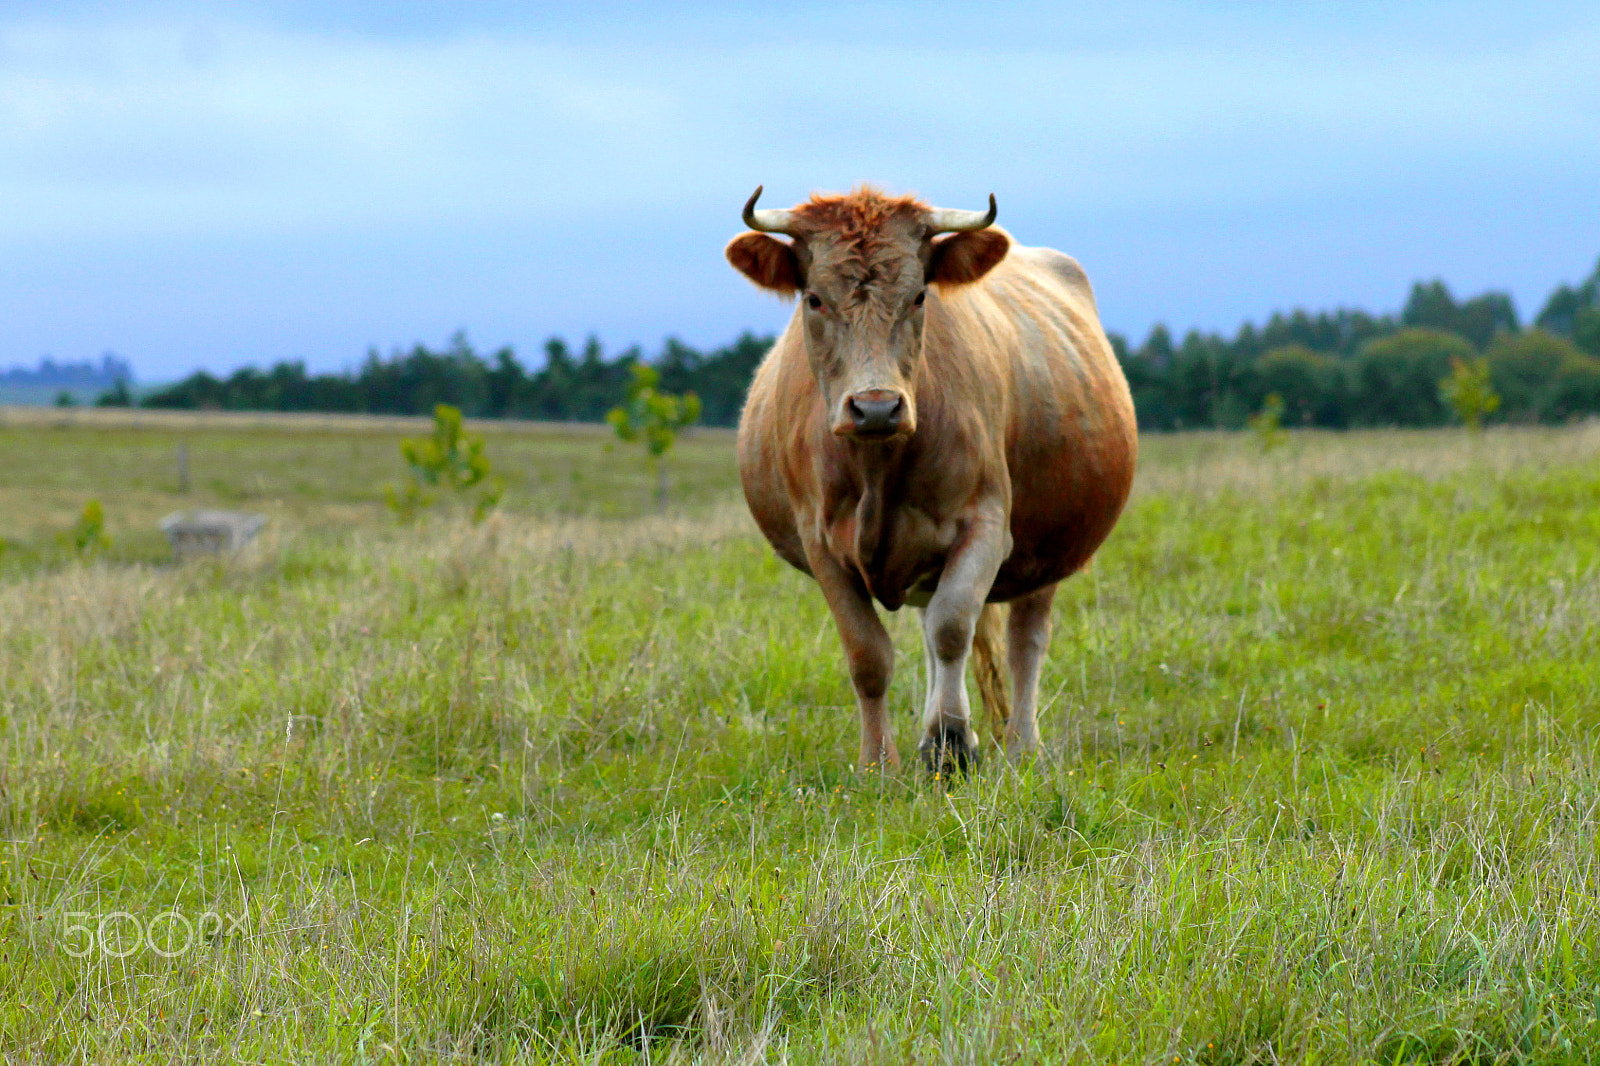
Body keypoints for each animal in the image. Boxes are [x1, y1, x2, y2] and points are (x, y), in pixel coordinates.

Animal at [729, 182, 1139, 765]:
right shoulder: (820, 542)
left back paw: (1022, 747)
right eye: (814, 299)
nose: (876, 407)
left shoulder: (987, 525)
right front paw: (879, 762)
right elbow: (869, 655)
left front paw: (950, 744)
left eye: (920, 296)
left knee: (1025, 640)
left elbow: (952, 629)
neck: (878, 471)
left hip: (1051, 546)